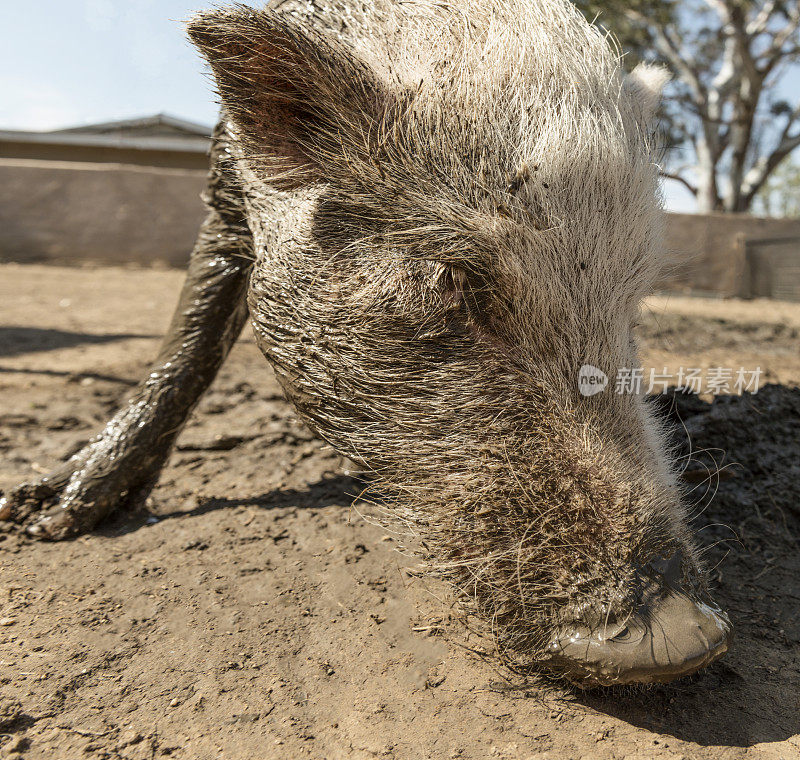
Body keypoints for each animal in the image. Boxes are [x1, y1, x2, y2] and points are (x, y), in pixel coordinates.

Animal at [0, 0, 732, 688]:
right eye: (452, 278)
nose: (684, 639)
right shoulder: (224, 189)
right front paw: (40, 522)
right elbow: (190, 341)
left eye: (632, 303)